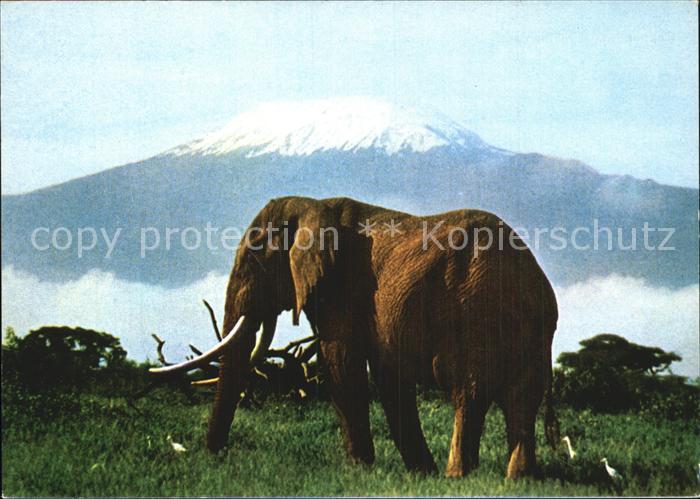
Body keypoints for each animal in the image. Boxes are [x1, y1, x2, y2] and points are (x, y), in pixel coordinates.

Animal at [152, 196, 560, 479]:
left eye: (252, 263)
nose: (214, 456)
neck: (313, 206)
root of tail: (530, 275)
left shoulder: (342, 289)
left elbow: (341, 364)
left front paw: (360, 469)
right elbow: (388, 376)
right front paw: (419, 472)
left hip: (476, 310)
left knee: (468, 390)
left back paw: (458, 477)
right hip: (533, 331)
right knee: (523, 399)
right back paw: (519, 479)